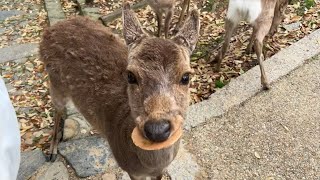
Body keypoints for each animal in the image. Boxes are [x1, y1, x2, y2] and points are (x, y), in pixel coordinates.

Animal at [38, 2, 199, 179]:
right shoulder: (130, 170)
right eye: (130, 75)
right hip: (55, 81)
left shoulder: (161, 170)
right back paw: (52, 152)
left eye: (186, 76)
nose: (157, 129)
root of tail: (49, 30)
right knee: (57, 107)